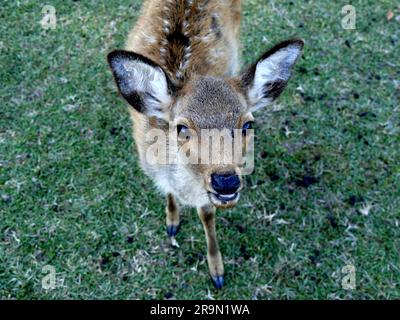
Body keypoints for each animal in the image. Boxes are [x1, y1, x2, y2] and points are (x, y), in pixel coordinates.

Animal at [108, 0, 304, 290]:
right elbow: (169, 193)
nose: (226, 181)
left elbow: (207, 215)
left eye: (247, 124)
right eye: (181, 127)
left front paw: (217, 271)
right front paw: (172, 222)